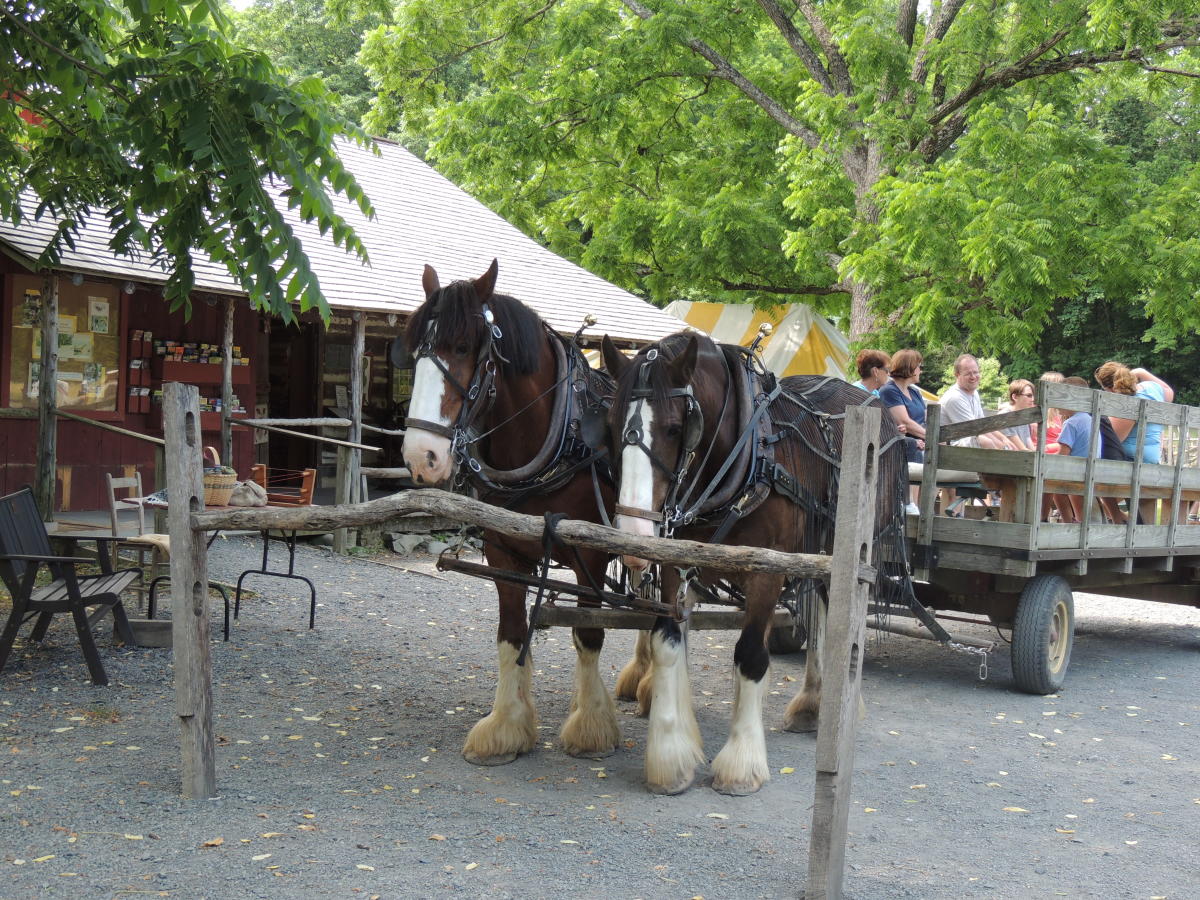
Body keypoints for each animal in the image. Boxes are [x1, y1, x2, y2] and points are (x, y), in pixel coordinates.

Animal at [403, 260, 633, 768]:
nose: (421, 456)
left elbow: (588, 634)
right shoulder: (502, 552)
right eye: (415, 352)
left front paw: (591, 728)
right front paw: (506, 727)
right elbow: (510, 634)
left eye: (463, 347)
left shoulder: (592, 557)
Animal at [604, 331, 902, 796]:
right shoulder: (676, 564)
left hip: (847, 554)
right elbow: (667, 643)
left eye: (675, 428)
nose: (634, 536)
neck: (747, 457)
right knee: (818, 617)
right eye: (613, 424)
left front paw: (741, 763)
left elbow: (750, 655)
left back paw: (839, 705)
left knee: (837, 621)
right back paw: (812, 703)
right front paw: (672, 756)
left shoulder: (767, 571)